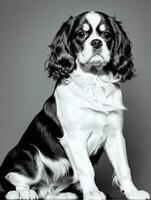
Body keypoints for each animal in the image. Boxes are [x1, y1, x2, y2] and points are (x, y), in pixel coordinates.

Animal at [0, 11, 150, 200]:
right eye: (81, 34)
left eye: (107, 34)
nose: (96, 42)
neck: (94, 82)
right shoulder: (74, 138)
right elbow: (86, 168)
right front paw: (92, 192)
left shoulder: (115, 135)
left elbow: (123, 167)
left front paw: (133, 192)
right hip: (29, 151)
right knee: (12, 181)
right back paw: (24, 192)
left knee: (45, 193)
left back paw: (64, 195)